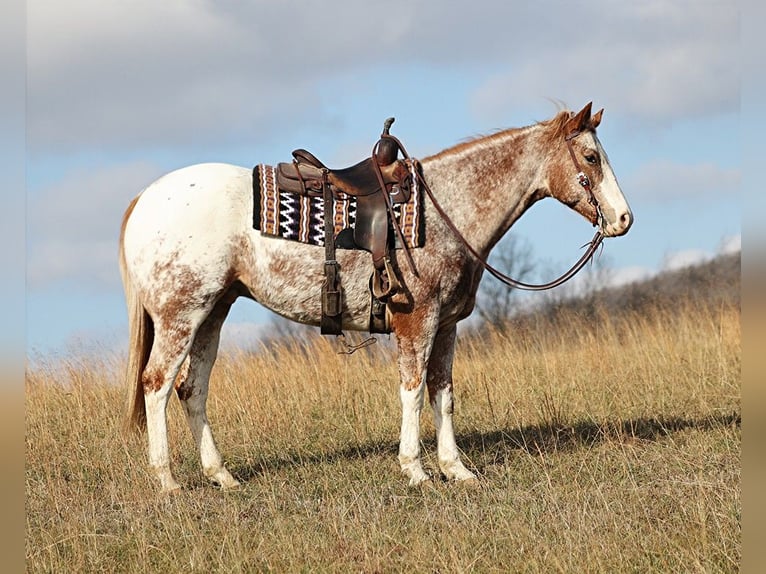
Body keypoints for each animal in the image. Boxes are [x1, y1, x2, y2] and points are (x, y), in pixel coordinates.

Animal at [120, 101, 636, 492]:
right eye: (591, 158)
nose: (624, 219)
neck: (444, 210)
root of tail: (146, 197)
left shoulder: (447, 325)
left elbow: (443, 393)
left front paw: (457, 470)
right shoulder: (417, 319)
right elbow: (413, 390)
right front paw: (416, 471)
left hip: (213, 312)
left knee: (192, 388)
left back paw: (222, 475)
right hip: (181, 314)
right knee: (157, 384)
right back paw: (167, 481)